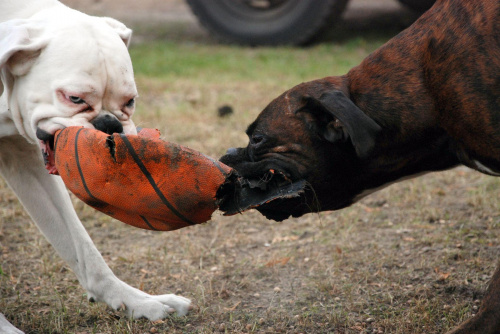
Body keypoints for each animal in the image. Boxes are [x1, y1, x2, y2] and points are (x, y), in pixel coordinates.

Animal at [0, 0, 191, 332]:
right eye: (74, 98)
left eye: (130, 102)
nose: (108, 124)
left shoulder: (24, 159)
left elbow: (81, 246)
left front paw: (136, 301)